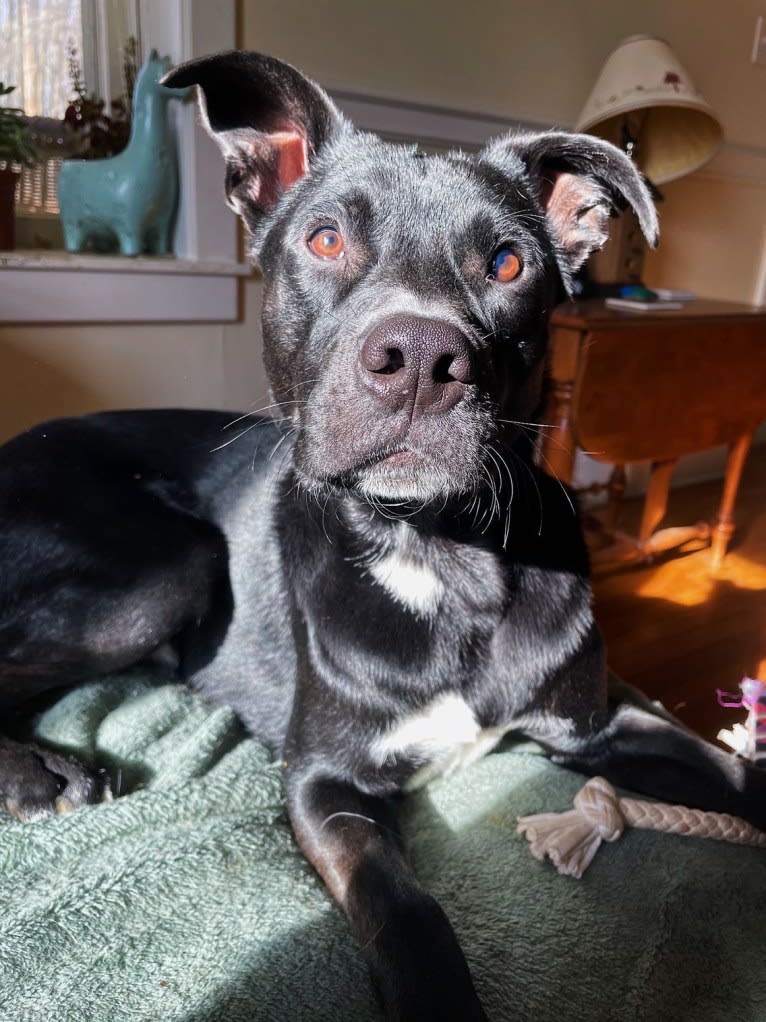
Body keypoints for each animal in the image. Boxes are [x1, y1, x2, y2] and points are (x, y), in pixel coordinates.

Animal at [1, 53, 766, 1021]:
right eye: (326, 241)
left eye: (509, 262)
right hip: (166, 566)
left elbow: (734, 772)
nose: (419, 362)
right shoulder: (325, 781)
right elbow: (407, 908)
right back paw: (39, 776)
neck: (447, 562)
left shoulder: (595, 726)